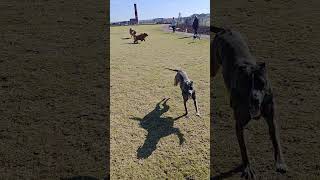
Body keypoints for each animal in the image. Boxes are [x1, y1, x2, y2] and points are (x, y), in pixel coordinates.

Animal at [211, 26, 286, 179]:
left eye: (261, 83)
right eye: (246, 85)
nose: (254, 98)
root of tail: (225, 30)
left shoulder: (271, 118)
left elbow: (276, 140)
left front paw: (280, 162)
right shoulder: (239, 124)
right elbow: (244, 148)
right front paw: (247, 168)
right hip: (214, 65)